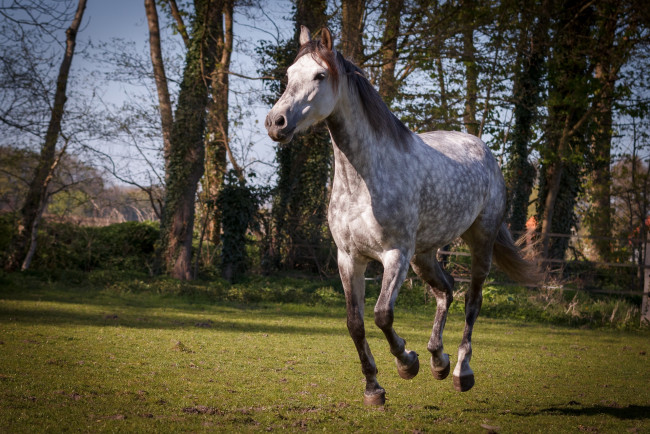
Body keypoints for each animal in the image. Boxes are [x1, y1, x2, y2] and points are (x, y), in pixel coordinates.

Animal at [264, 28, 540, 406]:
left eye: (320, 75)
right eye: (289, 74)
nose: (275, 123)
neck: (363, 181)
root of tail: (483, 150)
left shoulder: (395, 254)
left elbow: (382, 314)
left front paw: (407, 362)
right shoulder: (349, 258)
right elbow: (355, 323)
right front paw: (373, 388)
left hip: (478, 241)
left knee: (472, 300)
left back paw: (460, 372)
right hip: (424, 254)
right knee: (446, 291)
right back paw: (438, 360)